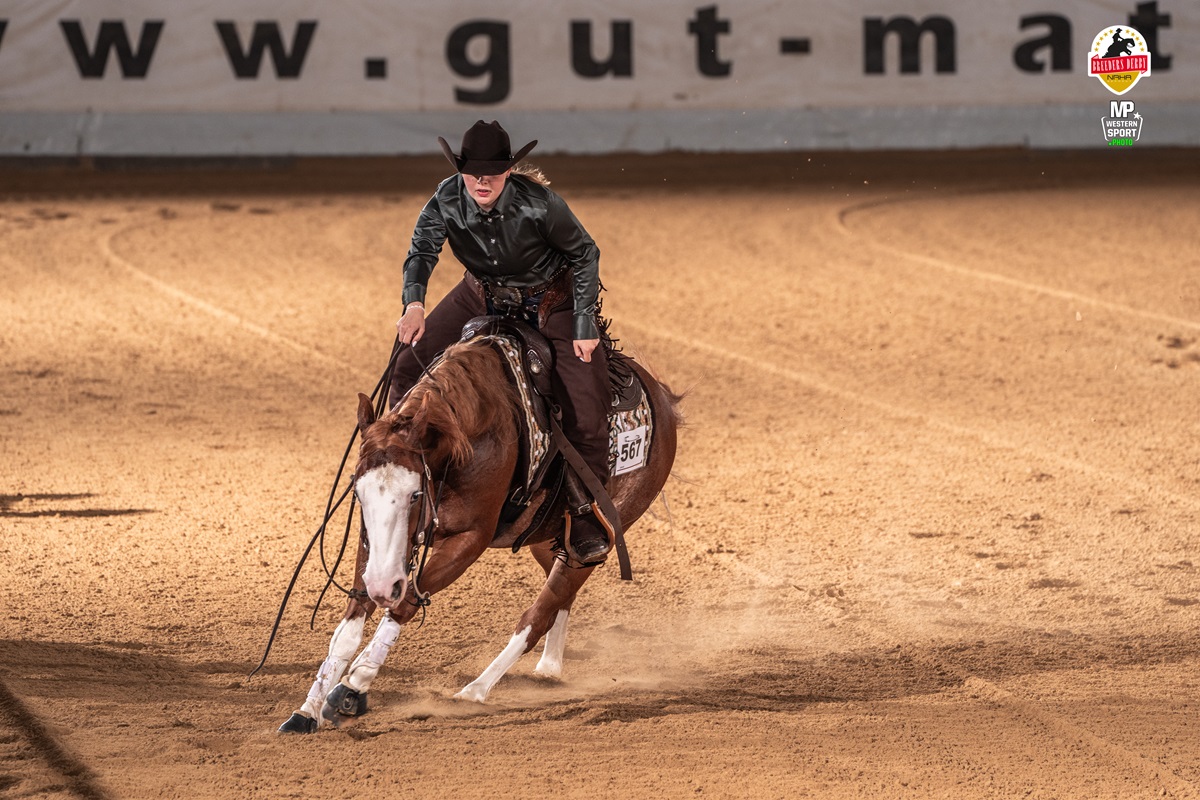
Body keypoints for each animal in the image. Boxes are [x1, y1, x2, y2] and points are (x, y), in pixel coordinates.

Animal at [274, 331, 681, 734]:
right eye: (358, 492)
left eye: (415, 493)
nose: (383, 586)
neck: (464, 439)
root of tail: (662, 398)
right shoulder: (374, 548)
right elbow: (349, 625)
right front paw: (307, 710)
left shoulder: (469, 540)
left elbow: (403, 606)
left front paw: (353, 687)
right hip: (549, 544)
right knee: (560, 600)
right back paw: (547, 668)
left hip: (594, 541)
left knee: (538, 613)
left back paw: (473, 692)